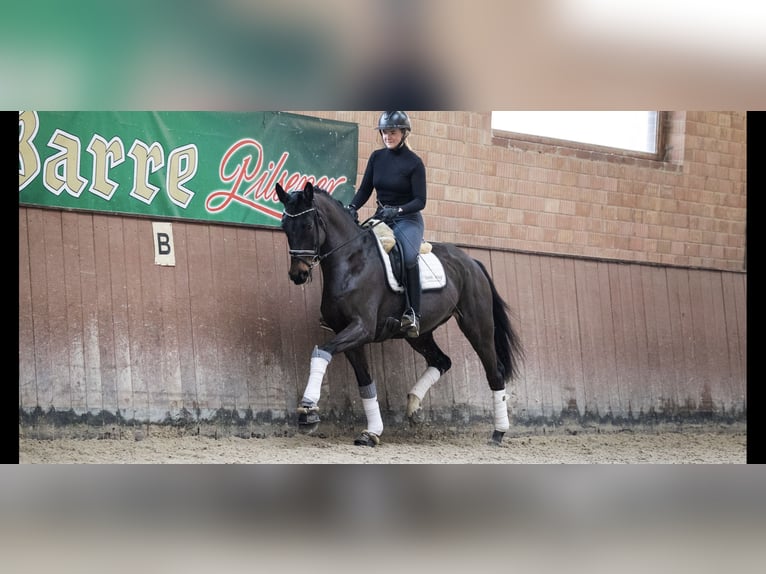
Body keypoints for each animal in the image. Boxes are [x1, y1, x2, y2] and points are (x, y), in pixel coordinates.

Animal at [280, 182, 524, 448]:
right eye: (285, 226)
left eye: (307, 225)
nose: (298, 274)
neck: (352, 262)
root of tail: (472, 262)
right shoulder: (346, 332)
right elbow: (364, 381)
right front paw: (372, 432)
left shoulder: (362, 328)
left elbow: (322, 352)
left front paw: (308, 410)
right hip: (420, 334)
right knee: (442, 361)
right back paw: (414, 406)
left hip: (476, 325)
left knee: (494, 371)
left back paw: (498, 432)